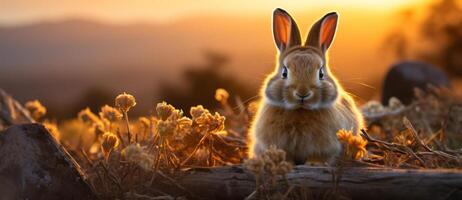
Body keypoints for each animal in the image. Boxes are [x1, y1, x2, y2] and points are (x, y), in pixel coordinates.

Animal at [249, 8, 364, 166]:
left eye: (321, 73)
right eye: (284, 72)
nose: (302, 93)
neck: (300, 111)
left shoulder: (325, 147)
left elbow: (319, 156)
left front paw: (314, 163)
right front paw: (287, 163)